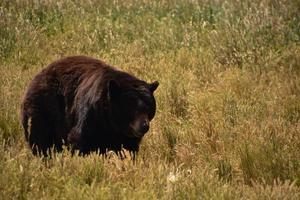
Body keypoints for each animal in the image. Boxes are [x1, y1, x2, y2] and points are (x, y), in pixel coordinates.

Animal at [21, 55, 159, 156]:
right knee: (40, 140)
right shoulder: (90, 114)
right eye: (131, 107)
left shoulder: (124, 134)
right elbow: (79, 139)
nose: (144, 126)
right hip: (43, 109)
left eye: (149, 107)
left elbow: (128, 148)